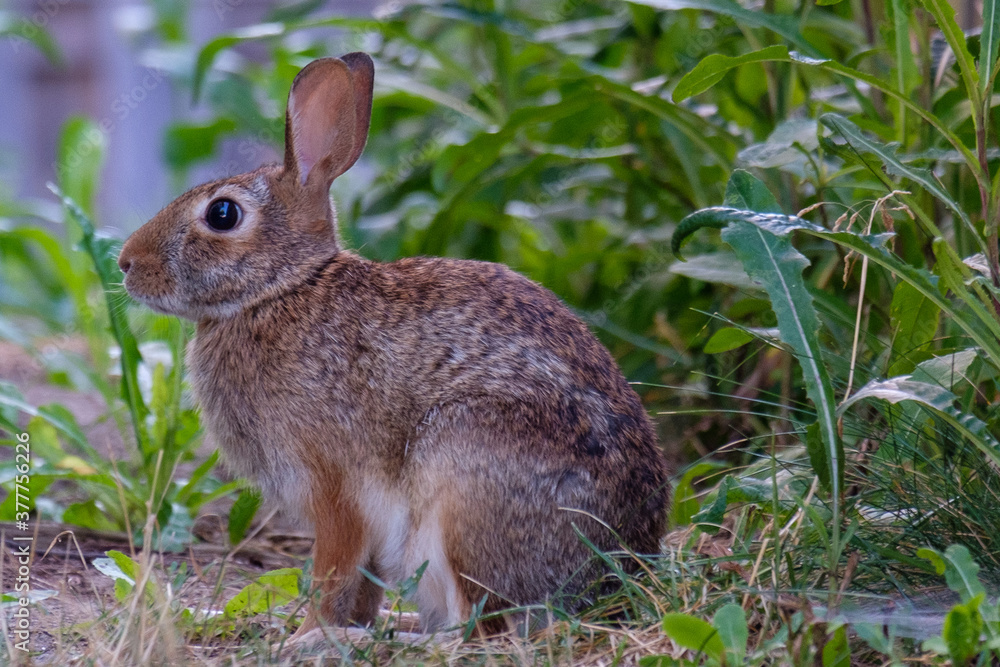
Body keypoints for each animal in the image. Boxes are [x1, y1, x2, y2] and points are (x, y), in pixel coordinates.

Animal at [117, 52, 668, 636]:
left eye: (222, 214)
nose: (126, 263)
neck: (281, 288)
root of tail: (614, 579)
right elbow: (361, 587)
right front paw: (332, 627)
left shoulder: (333, 486)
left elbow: (333, 569)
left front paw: (310, 635)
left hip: (461, 478)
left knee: (478, 628)